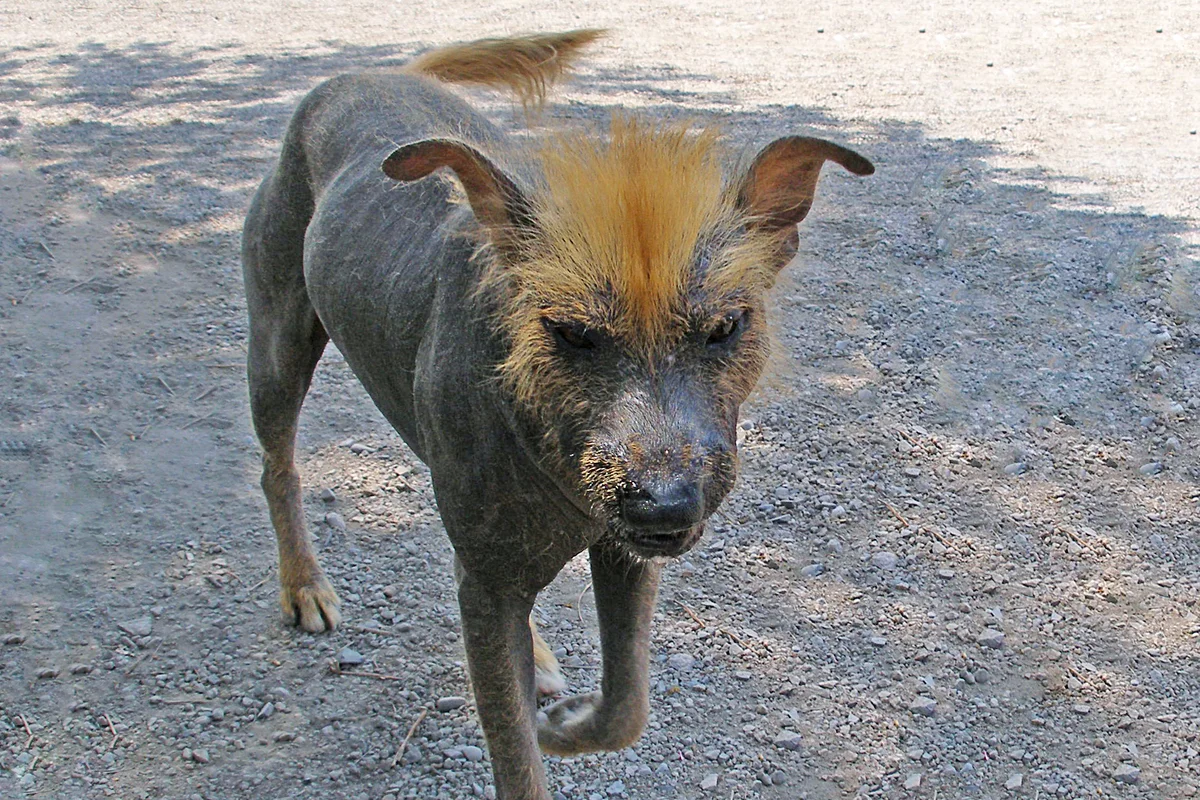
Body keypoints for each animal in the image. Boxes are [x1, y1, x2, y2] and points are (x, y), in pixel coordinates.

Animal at [243, 28, 878, 796]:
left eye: (726, 326)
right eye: (572, 333)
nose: (664, 505)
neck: (545, 443)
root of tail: (371, 73)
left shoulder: (622, 554)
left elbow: (626, 704)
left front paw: (567, 726)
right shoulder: (495, 585)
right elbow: (516, 756)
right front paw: (537, 731)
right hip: (277, 349)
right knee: (278, 468)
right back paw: (303, 584)